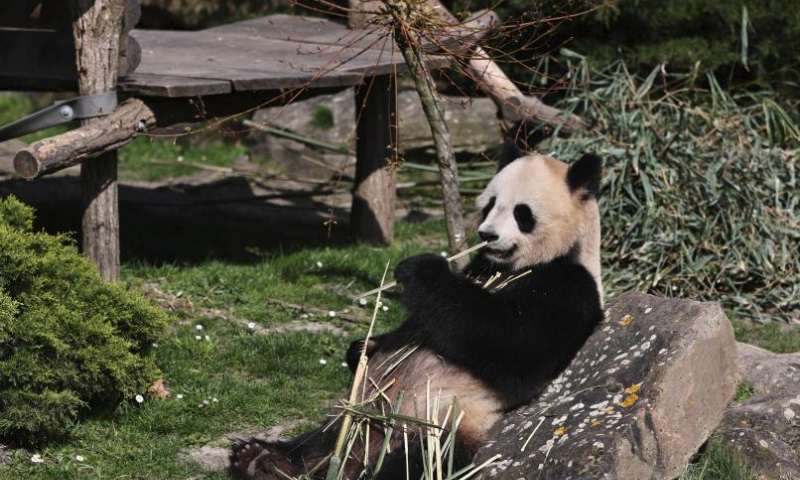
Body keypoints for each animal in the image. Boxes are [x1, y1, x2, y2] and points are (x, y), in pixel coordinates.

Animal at [230, 139, 605, 480]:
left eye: (521, 213)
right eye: (489, 205)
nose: (487, 234)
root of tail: (367, 450)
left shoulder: (569, 290)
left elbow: (512, 345)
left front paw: (419, 269)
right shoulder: (480, 268)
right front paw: (362, 348)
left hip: (437, 425)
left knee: (414, 463)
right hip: (353, 415)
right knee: (319, 442)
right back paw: (261, 459)